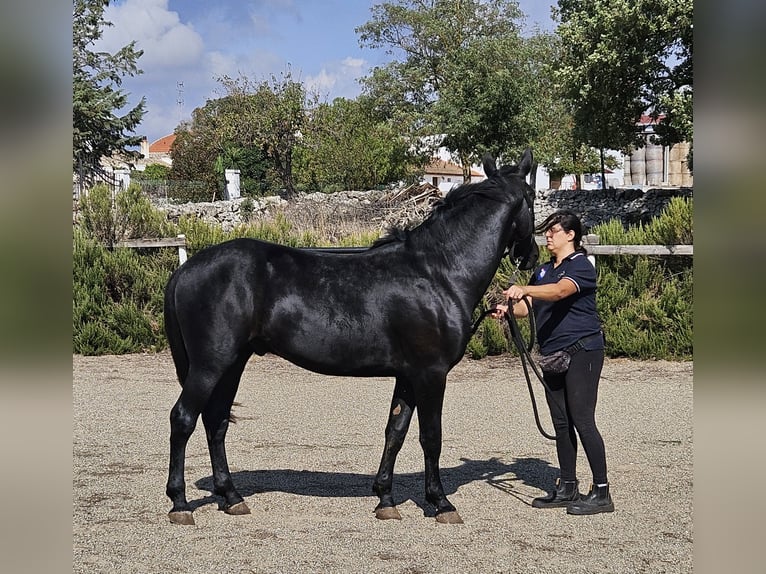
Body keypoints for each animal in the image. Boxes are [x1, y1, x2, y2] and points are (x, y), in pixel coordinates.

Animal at [164, 150, 540, 528]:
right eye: (532, 196)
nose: (532, 257)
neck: (439, 272)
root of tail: (185, 269)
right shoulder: (431, 374)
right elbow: (430, 437)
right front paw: (441, 502)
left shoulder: (408, 375)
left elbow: (395, 431)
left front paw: (385, 498)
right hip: (210, 365)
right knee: (183, 418)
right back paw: (180, 503)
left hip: (233, 364)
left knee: (216, 422)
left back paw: (231, 497)